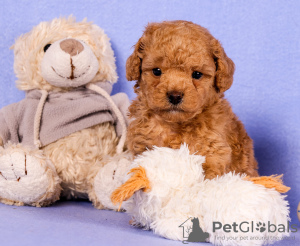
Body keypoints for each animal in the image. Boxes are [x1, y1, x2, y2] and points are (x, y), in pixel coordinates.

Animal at [125, 20, 258, 179]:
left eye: (197, 74)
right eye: (157, 71)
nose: (175, 96)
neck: (176, 125)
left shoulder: (213, 156)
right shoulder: (144, 149)